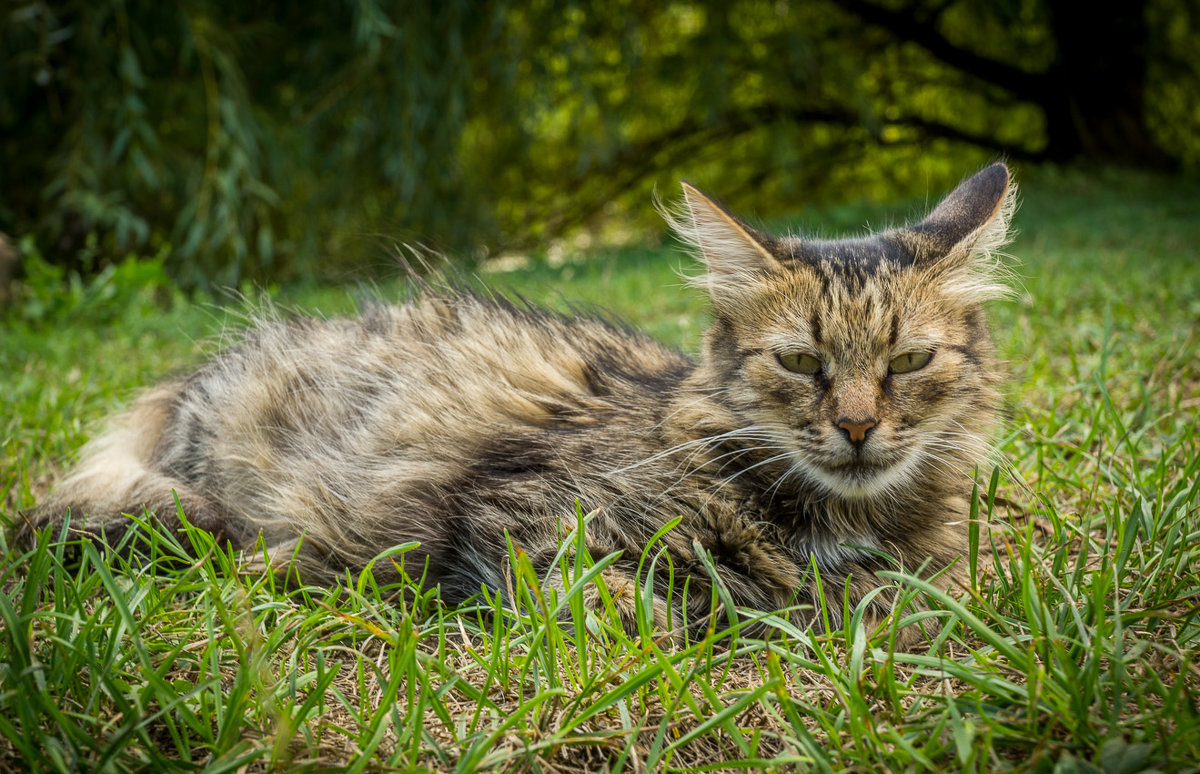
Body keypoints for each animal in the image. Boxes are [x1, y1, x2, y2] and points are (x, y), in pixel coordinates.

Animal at [14, 164, 1017, 648]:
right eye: (802, 363)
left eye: (910, 361)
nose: (857, 427)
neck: (836, 522)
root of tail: (187, 383)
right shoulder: (519, 521)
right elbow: (641, 609)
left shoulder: (921, 576)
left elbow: (912, 604)